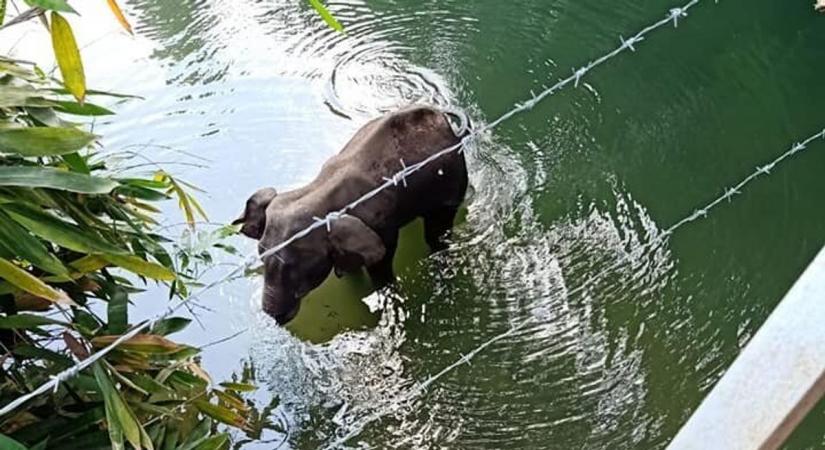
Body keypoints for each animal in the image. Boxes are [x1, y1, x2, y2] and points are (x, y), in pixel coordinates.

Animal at [234, 105, 469, 324]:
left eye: (294, 267)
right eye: (261, 254)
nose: (275, 318)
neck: (317, 190)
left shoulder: (381, 226)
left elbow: (381, 263)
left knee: (436, 232)